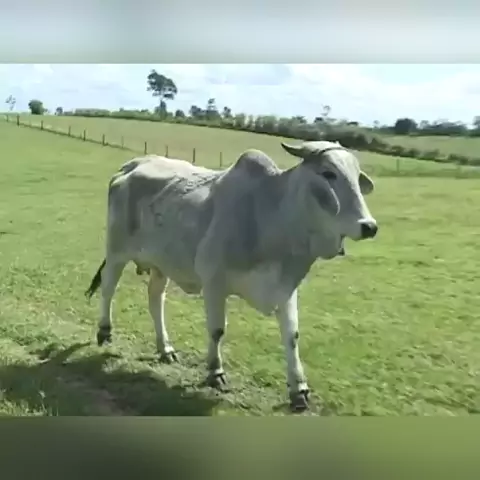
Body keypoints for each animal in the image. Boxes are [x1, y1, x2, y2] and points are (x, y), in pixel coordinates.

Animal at [85, 140, 378, 412]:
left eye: (357, 175)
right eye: (329, 173)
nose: (370, 226)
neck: (269, 215)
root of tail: (131, 165)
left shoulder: (285, 289)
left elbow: (292, 336)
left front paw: (299, 390)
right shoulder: (214, 282)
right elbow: (217, 330)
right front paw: (215, 372)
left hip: (162, 264)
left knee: (155, 299)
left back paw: (165, 348)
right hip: (117, 251)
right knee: (108, 288)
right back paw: (104, 331)